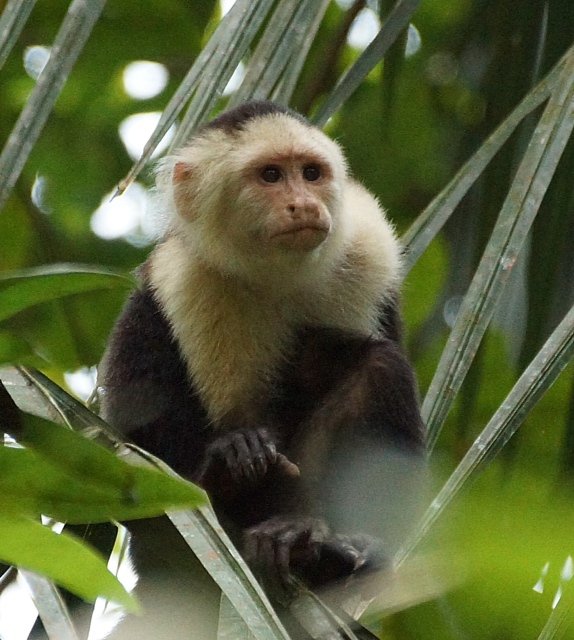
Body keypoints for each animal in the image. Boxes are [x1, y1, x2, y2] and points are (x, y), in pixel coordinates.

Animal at [98, 100, 426, 597]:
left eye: (310, 173)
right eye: (270, 175)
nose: (304, 204)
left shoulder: (368, 246)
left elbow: (372, 347)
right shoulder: (184, 278)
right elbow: (140, 423)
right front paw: (234, 453)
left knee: (380, 366)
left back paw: (322, 544)